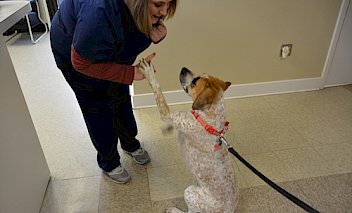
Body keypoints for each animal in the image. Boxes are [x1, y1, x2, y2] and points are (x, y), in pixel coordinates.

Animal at [138, 58, 239, 213]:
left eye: (195, 81)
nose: (184, 68)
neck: (208, 118)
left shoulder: (168, 113)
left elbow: (158, 91)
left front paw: (149, 73)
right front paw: (167, 128)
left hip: (190, 192)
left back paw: (173, 210)